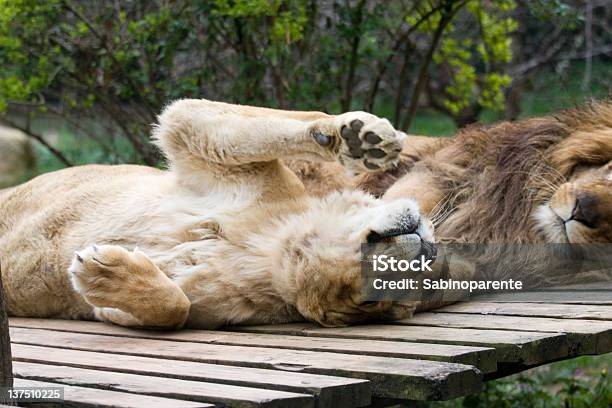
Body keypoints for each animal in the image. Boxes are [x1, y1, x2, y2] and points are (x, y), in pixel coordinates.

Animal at [0, 98, 436, 328]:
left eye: (372, 303)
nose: (426, 251)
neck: (263, 244)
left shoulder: (190, 311)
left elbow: (174, 307)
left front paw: (103, 270)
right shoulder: (198, 135)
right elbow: (268, 121)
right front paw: (361, 139)